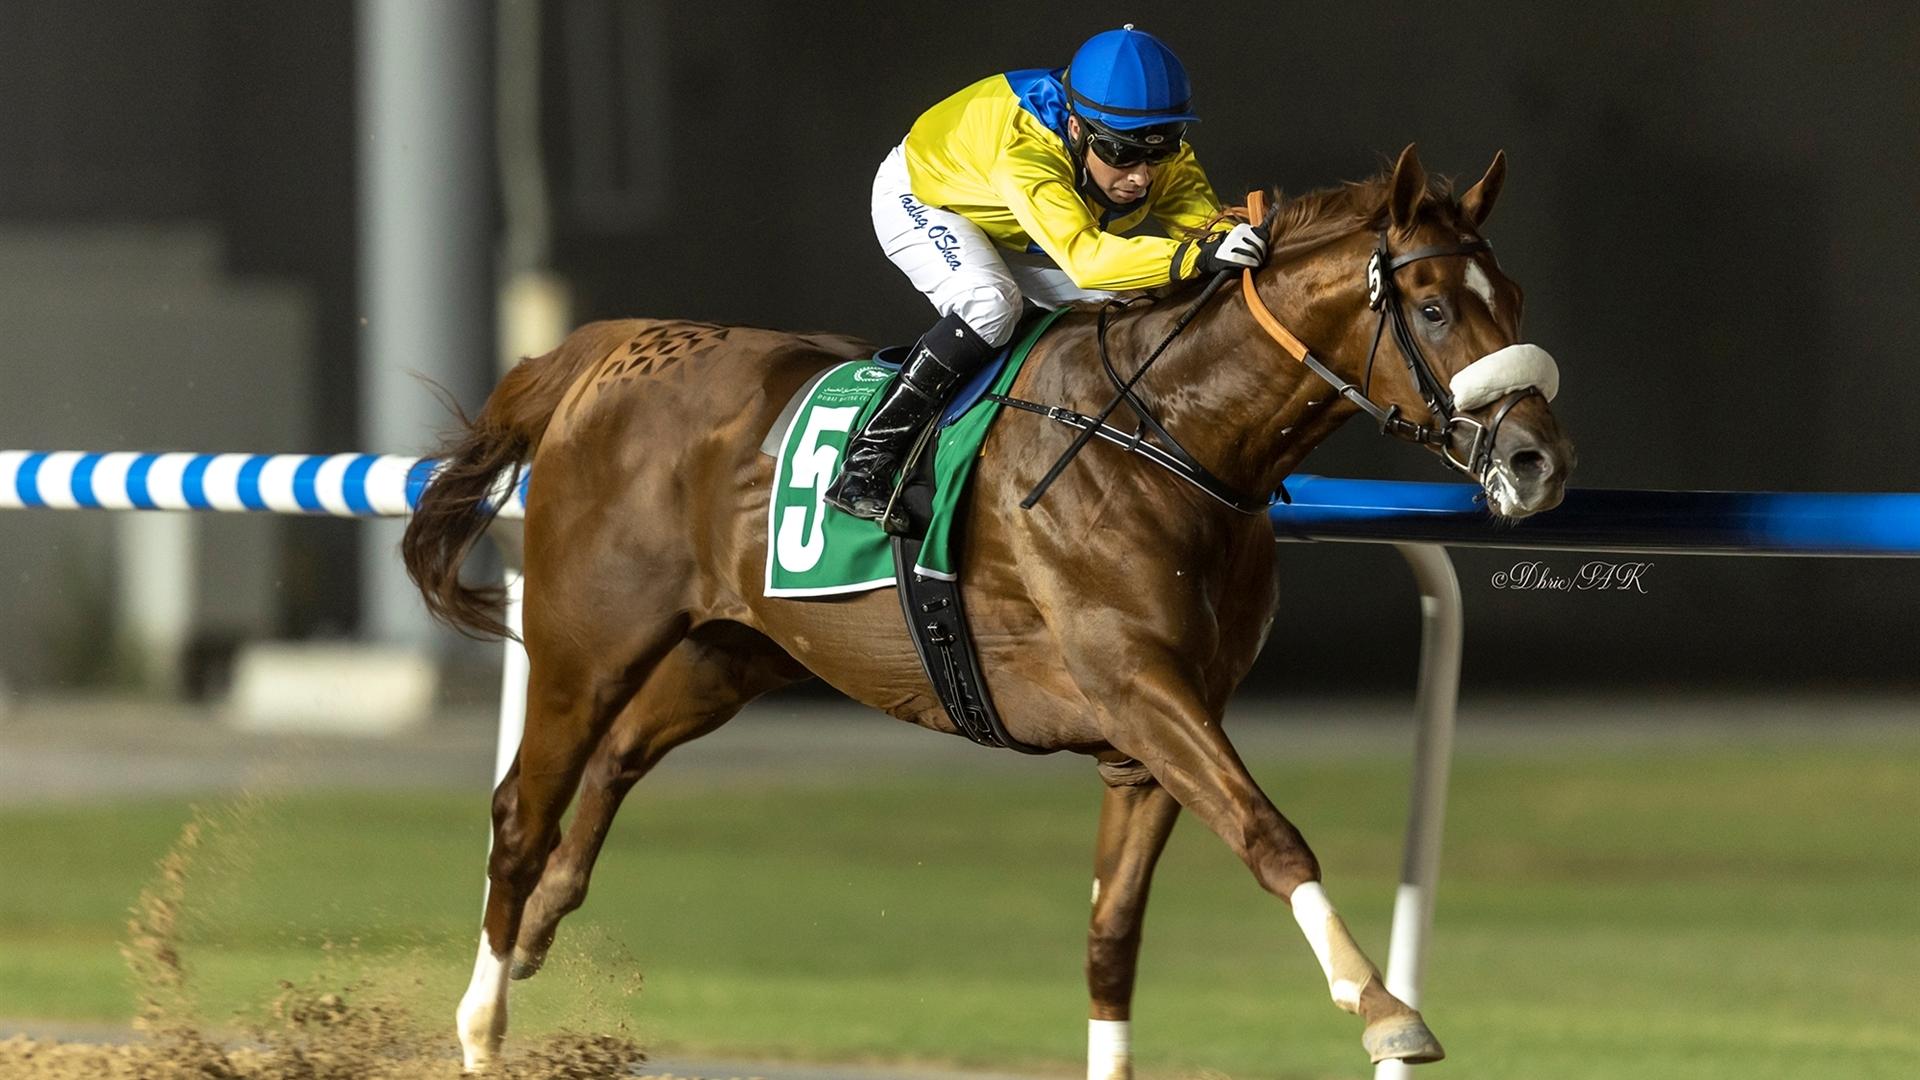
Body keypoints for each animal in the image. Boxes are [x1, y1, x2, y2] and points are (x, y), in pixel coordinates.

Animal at [404, 144, 1575, 1077]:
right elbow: (1269, 834)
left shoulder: (1150, 736)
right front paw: (1384, 1008)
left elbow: (1111, 936)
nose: (1538, 462)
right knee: (520, 811)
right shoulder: (1139, 688)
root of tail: (616, 350)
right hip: (587, 641)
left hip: (733, 653)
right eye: (1434, 307)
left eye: (1516, 297)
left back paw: (543, 926)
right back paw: (481, 1028)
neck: (1171, 437)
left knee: (613, 764)